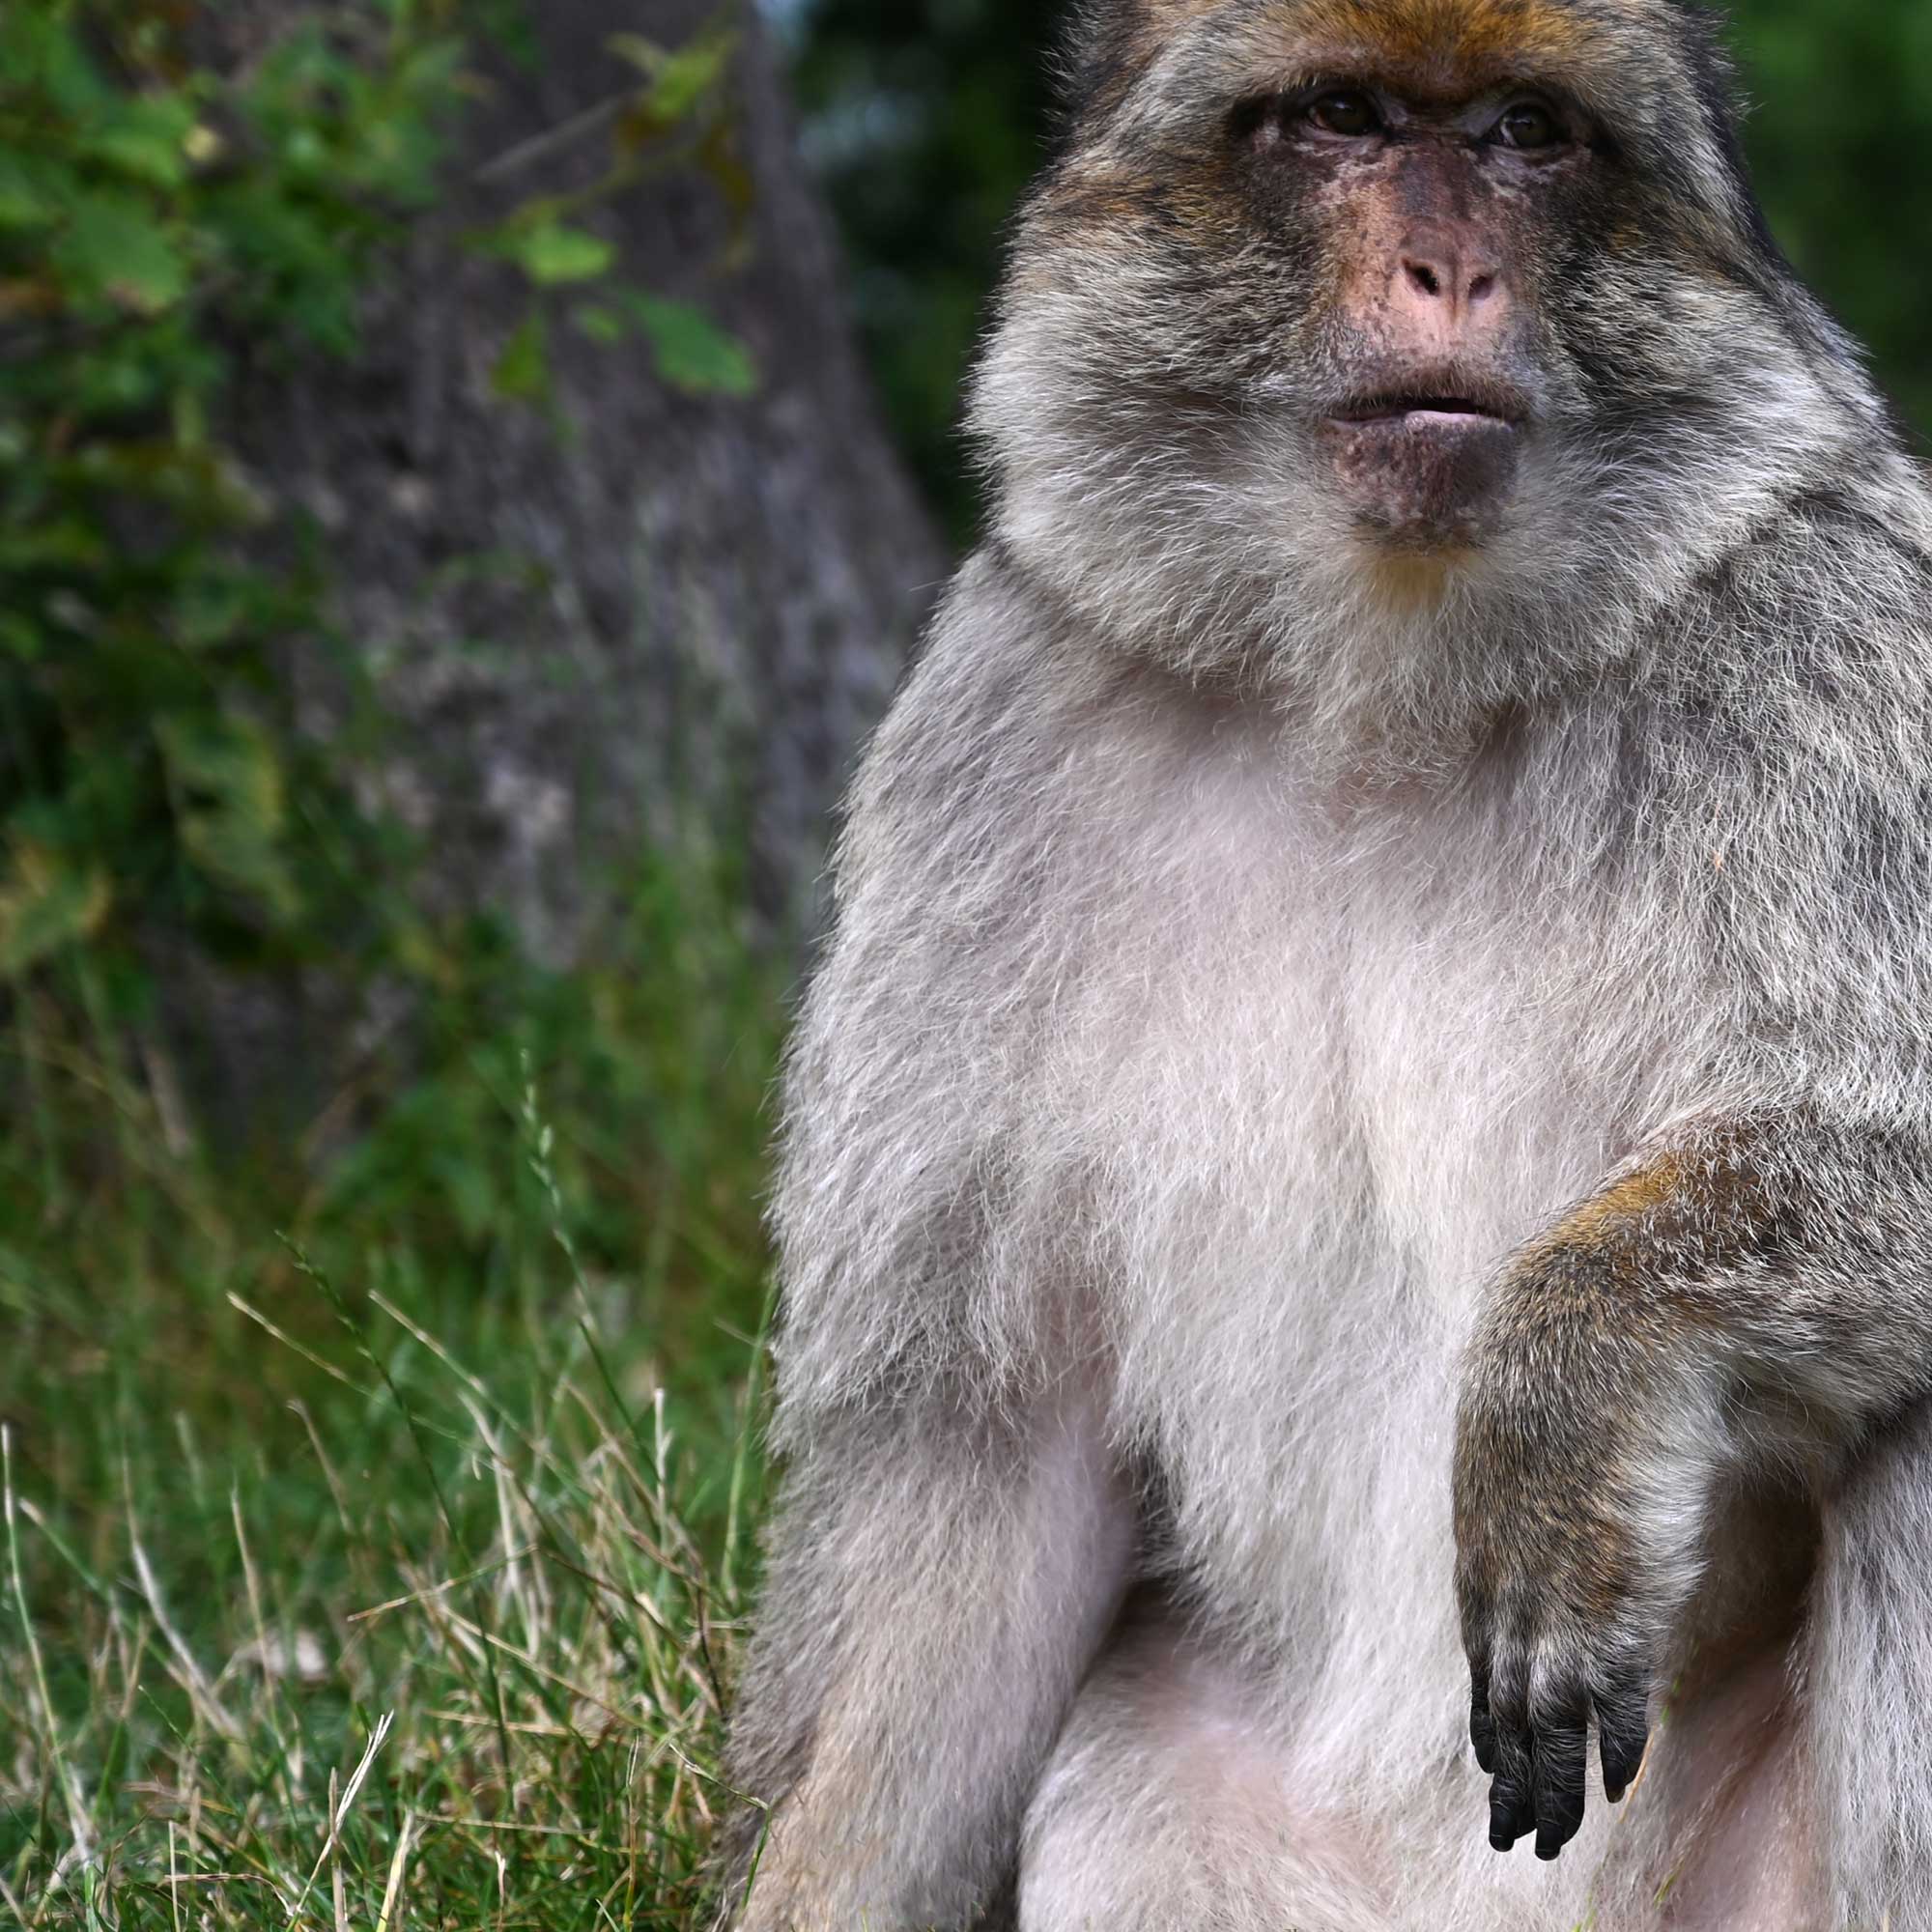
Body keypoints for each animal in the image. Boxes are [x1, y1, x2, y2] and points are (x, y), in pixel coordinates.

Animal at [719, 1, 1932, 1927]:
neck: (1387, 689)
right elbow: (984, 1467)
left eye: (1526, 135)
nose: (1448, 270)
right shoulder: (989, 738)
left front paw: (1560, 1390)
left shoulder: (1838, 637)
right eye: (1343, 119)